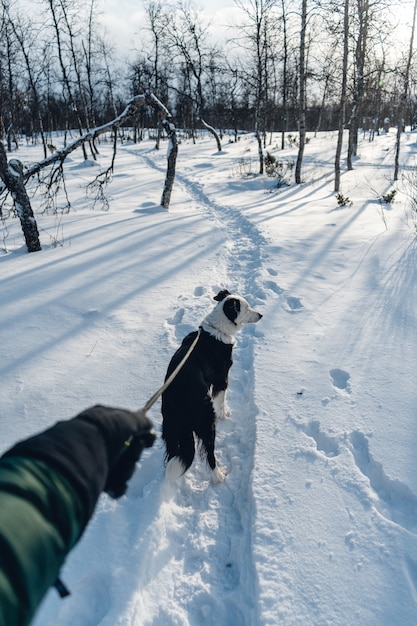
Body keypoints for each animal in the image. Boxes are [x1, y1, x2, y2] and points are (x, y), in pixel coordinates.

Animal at [161, 288, 262, 482]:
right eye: (246, 308)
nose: (261, 315)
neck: (217, 329)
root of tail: (178, 401)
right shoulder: (222, 380)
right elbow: (220, 402)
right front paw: (224, 415)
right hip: (206, 422)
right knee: (209, 454)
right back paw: (219, 476)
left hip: (171, 429)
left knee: (172, 458)